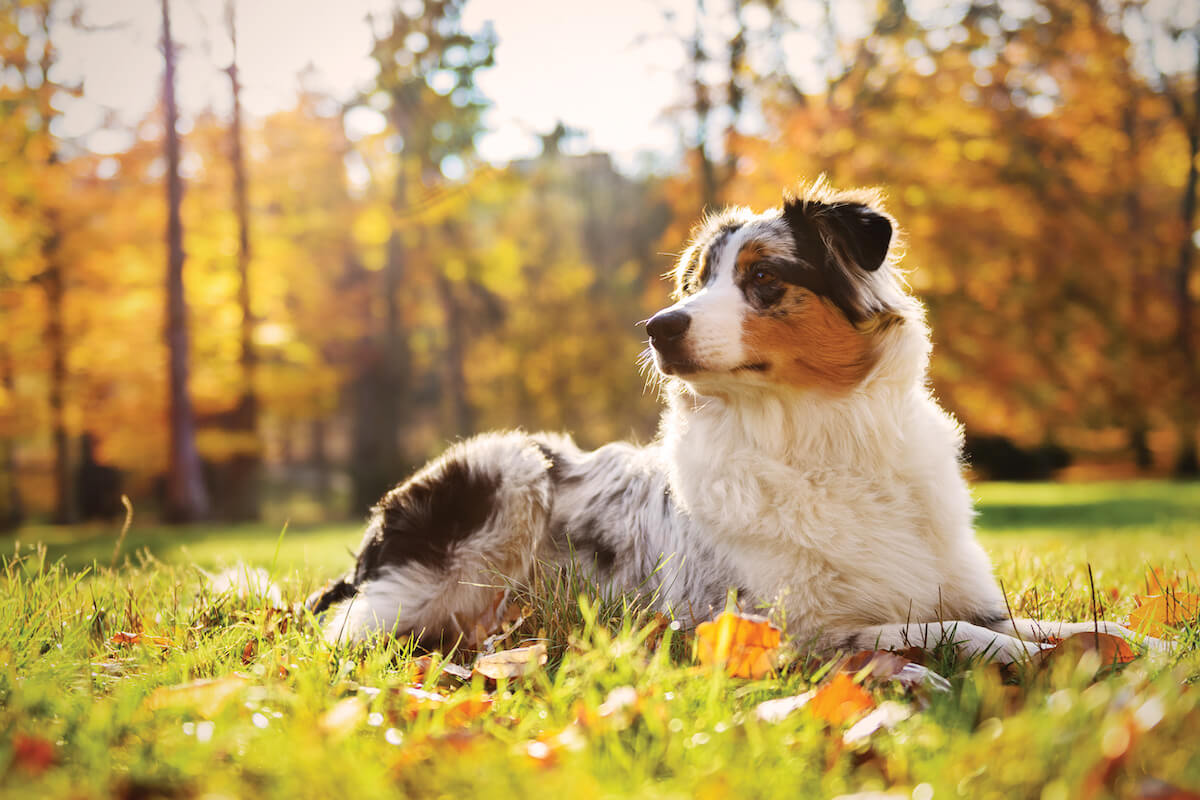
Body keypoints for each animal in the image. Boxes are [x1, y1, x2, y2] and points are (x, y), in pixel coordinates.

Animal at [309, 181, 1161, 662]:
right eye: (695, 282)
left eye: (762, 279)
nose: (657, 326)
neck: (818, 436)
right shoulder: (796, 628)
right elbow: (963, 638)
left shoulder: (960, 588)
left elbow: (1058, 624)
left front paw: (1143, 642)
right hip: (503, 470)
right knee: (350, 632)